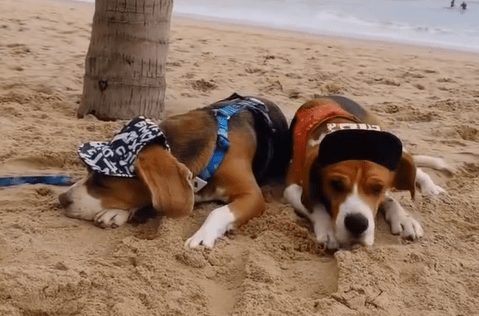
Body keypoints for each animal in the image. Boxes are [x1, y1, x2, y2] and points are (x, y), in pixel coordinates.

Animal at [60, 92, 292, 248]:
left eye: (102, 181)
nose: (62, 199)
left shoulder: (252, 195)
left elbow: (217, 211)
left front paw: (202, 236)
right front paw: (117, 211)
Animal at [284, 95, 454, 249]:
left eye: (378, 188)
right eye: (335, 184)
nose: (357, 224)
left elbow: (390, 199)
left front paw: (404, 218)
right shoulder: (292, 187)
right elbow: (315, 204)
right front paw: (328, 230)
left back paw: (429, 187)